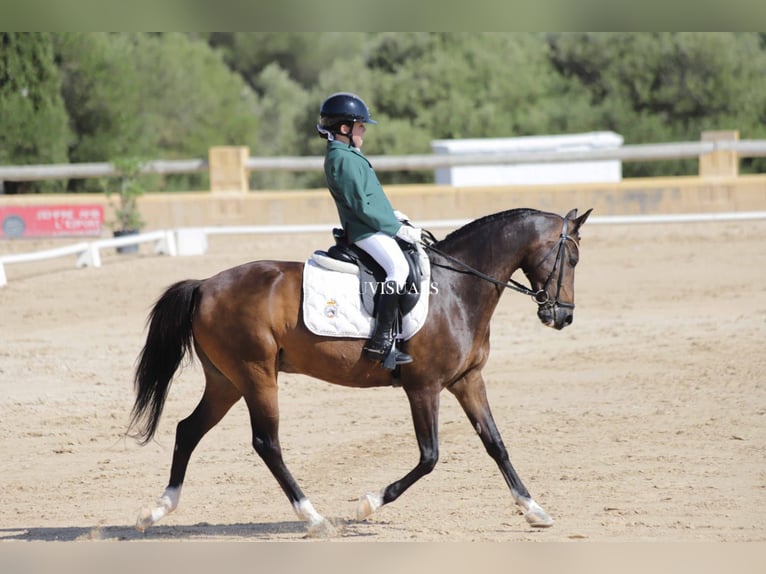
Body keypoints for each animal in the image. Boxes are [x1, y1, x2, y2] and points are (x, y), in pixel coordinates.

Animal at [128, 207, 592, 536]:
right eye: (570, 257)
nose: (563, 317)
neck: (458, 289)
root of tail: (205, 285)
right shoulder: (423, 387)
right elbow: (429, 457)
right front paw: (368, 503)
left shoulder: (467, 380)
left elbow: (496, 444)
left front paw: (534, 509)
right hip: (255, 375)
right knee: (266, 443)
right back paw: (314, 519)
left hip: (227, 380)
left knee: (189, 430)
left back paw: (156, 511)